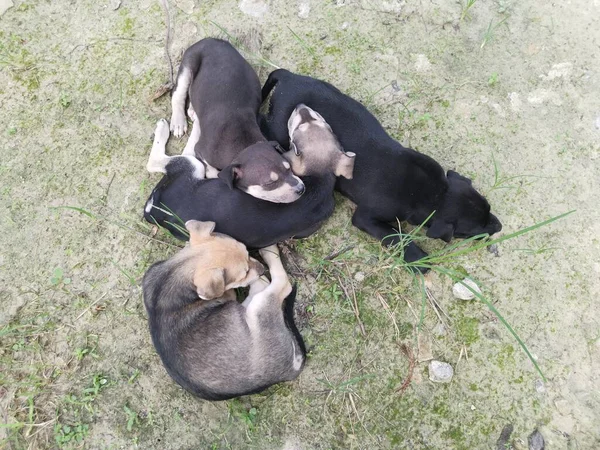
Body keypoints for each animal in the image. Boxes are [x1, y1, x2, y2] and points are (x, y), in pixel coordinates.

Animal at [143, 106, 354, 250]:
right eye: (324, 124)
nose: (301, 107)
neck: (320, 177)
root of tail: (157, 211)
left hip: (191, 166)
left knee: (159, 160)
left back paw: (172, 126)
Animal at [143, 220, 308, 400]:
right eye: (244, 273)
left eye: (247, 252)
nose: (261, 269)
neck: (172, 274)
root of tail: (288, 371)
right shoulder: (230, 296)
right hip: (259, 307)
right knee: (281, 284)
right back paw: (269, 255)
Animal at [168, 37, 302, 203]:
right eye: (269, 183)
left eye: (288, 168)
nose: (301, 188)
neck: (243, 144)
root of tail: (212, 39)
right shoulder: (200, 150)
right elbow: (212, 171)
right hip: (189, 63)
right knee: (178, 93)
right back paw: (178, 122)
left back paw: (193, 110)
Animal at [262, 70, 502, 268]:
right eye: (470, 232)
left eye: (489, 208)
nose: (499, 227)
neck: (436, 193)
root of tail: (289, 76)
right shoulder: (366, 218)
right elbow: (395, 236)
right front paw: (418, 259)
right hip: (279, 128)